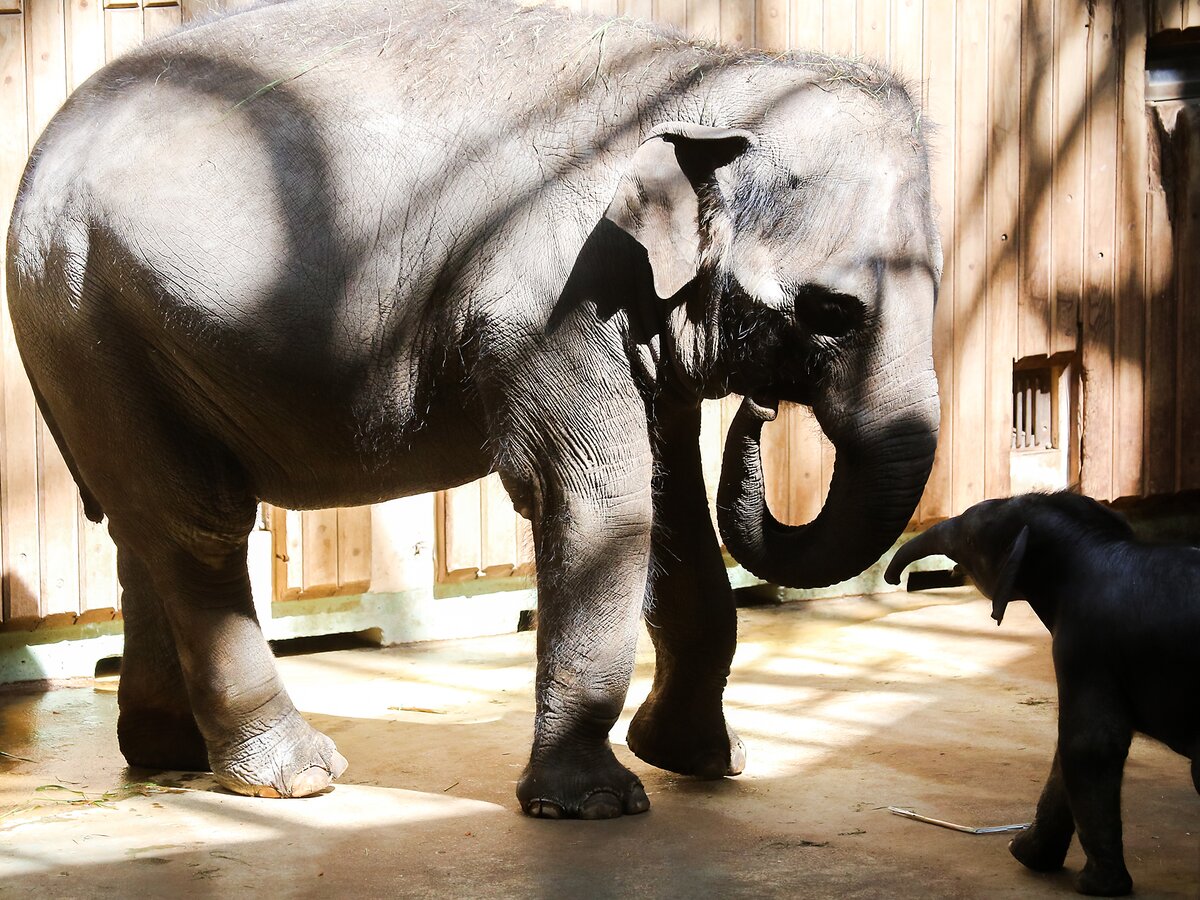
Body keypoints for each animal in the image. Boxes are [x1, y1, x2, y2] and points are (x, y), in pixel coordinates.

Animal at [11, 0, 945, 816]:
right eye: (831, 312)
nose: (760, 411)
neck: (710, 78)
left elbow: (671, 499)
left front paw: (707, 762)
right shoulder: (551, 299)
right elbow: (604, 499)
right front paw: (593, 805)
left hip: (100, 325)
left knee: (143, 524)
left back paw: (168, 753)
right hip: (85, 313)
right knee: (196, 524)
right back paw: (294, 778)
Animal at [883, 489, 1200, 897]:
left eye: (969, 538)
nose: (893, 578)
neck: (1094, 541)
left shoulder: (1084, 644)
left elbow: (1088, 744)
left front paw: (1095, 886)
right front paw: (1025, 854)